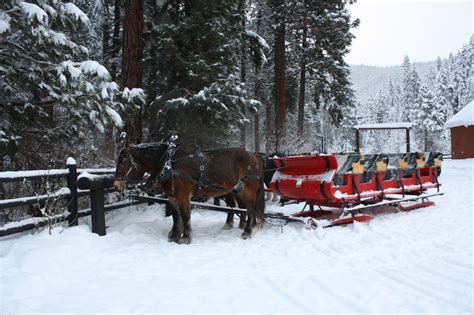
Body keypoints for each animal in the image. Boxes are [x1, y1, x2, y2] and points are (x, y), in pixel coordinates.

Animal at [113, 138, 264, 244]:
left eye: (123, 161)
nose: (116, 184)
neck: (169, 164)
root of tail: (255, 156)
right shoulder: (172, 196)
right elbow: (176, 216)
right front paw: (174, 235)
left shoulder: (183, 195)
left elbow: (185, 215)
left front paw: (186, 237)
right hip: (236, 190)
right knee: (241, 207)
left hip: (248, 190)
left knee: (250, 209)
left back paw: (247, 231)